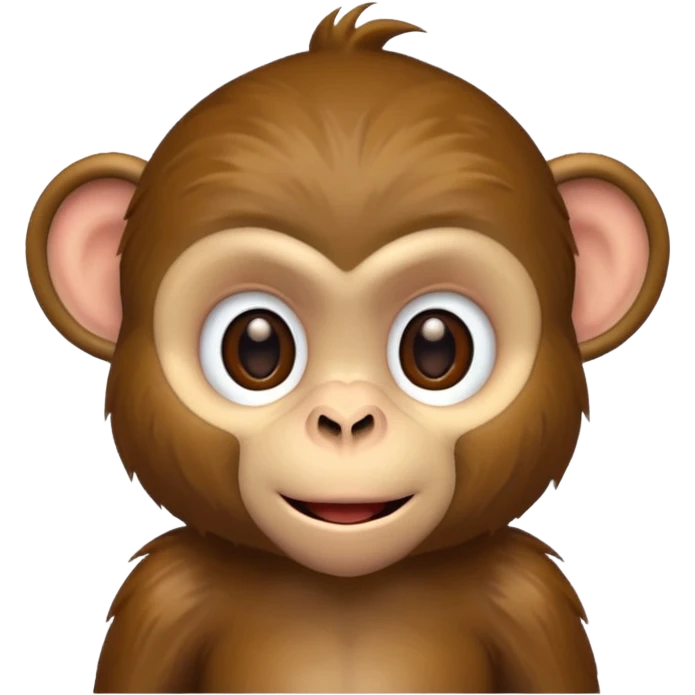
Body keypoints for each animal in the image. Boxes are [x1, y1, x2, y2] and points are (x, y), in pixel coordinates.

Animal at [24, 3, 671, 693]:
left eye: (436, 348)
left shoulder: (530, 598)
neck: (347, 587)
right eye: (256, 348)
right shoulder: (163, 598)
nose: (345, 419)